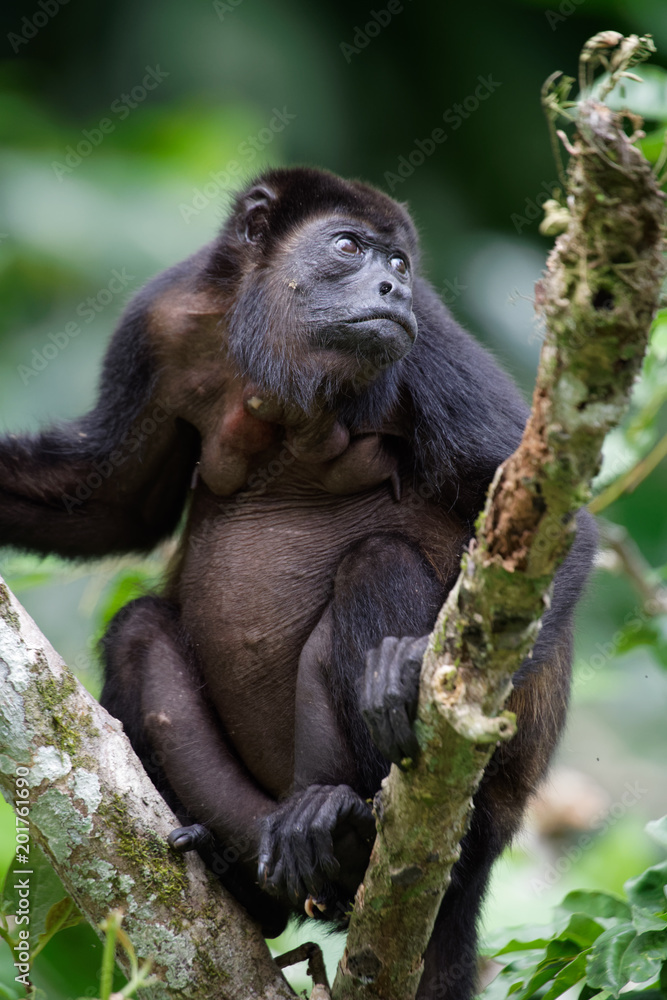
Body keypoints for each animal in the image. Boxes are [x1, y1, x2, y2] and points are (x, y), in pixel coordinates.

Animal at [0, 167, 596, 999]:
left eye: (400, 264)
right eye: (347, 247)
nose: (390, 286)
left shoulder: (428, 338)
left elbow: (558, 526)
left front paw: (411, 673)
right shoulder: (158, 320)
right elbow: (109, 503)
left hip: (481, 809)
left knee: (377, 562)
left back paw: (346, 829)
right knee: (140, 630)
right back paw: (262, 880)